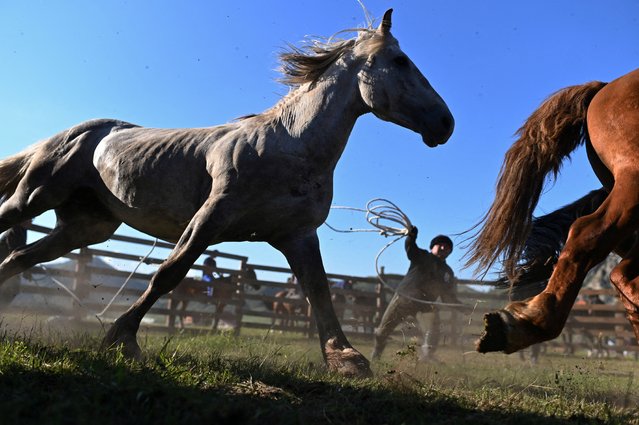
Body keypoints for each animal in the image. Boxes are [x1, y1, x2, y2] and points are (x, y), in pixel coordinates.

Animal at [0, 9, 452, 374]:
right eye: (399, 60)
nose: (445, 124)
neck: (289, 145)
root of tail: (74, 132)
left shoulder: (298, 235)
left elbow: (319, 292)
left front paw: (346, 360)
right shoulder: (211, 217)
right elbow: (169, 273)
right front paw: (122, 340)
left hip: (86, 227)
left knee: (21, 257)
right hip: (34, 197)